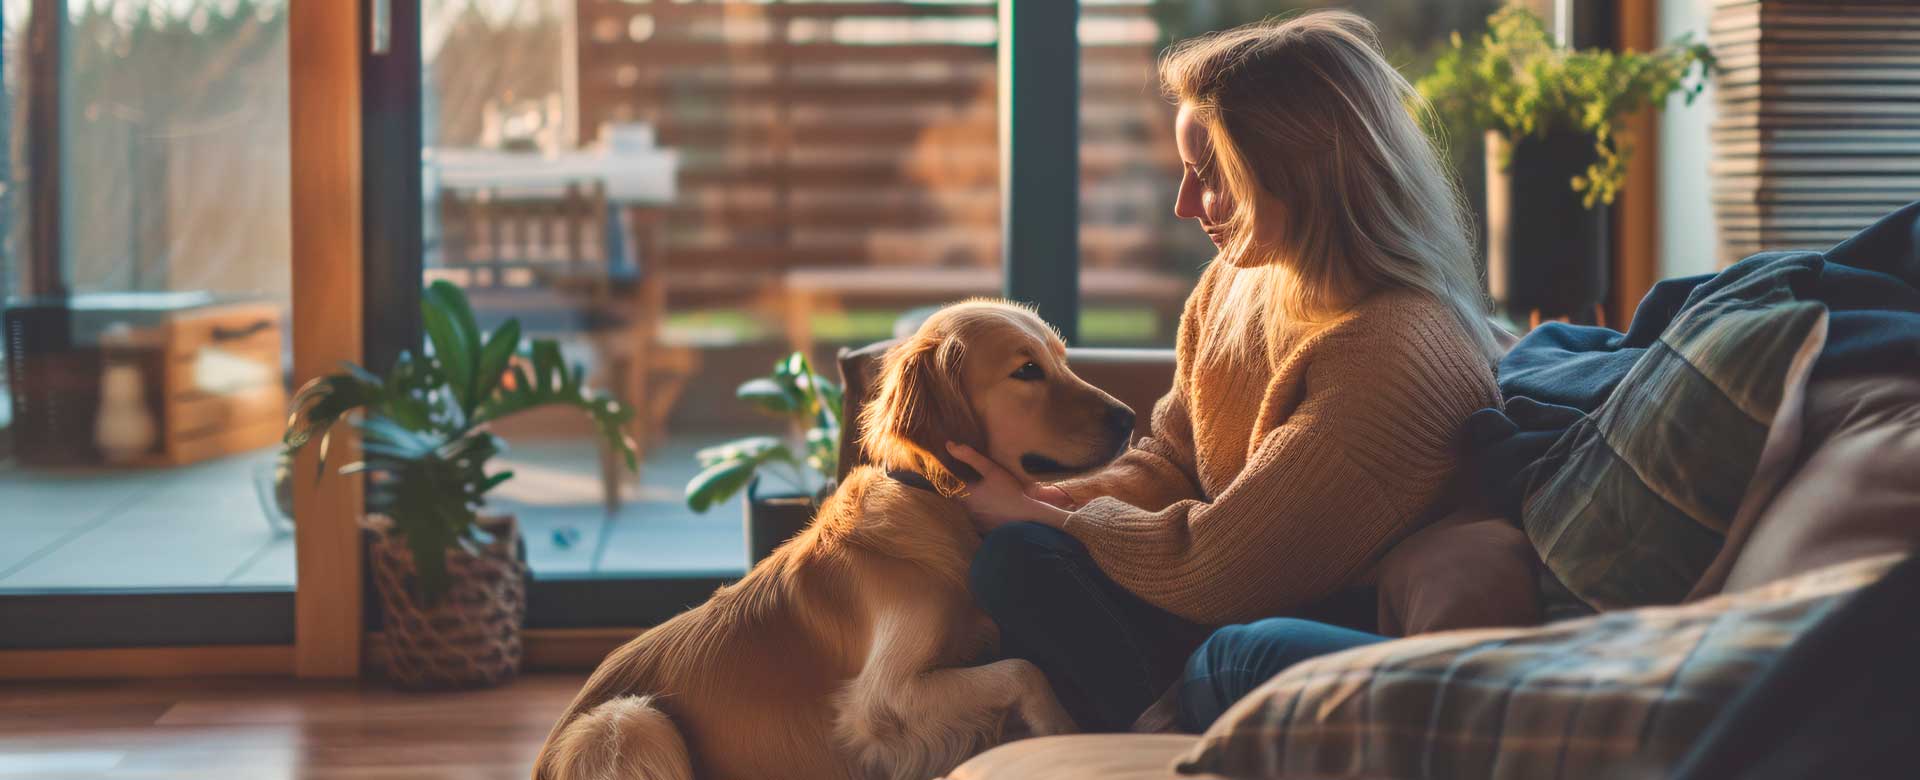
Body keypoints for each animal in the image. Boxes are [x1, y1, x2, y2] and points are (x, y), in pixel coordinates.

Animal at [533, 299, 1136, 780]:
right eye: (1027, 370)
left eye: (1063, 360)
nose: (1130, 417)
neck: (934, 501)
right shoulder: (880, 699)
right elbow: (1024, 670)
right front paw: (1066, 732)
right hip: (630, 721)